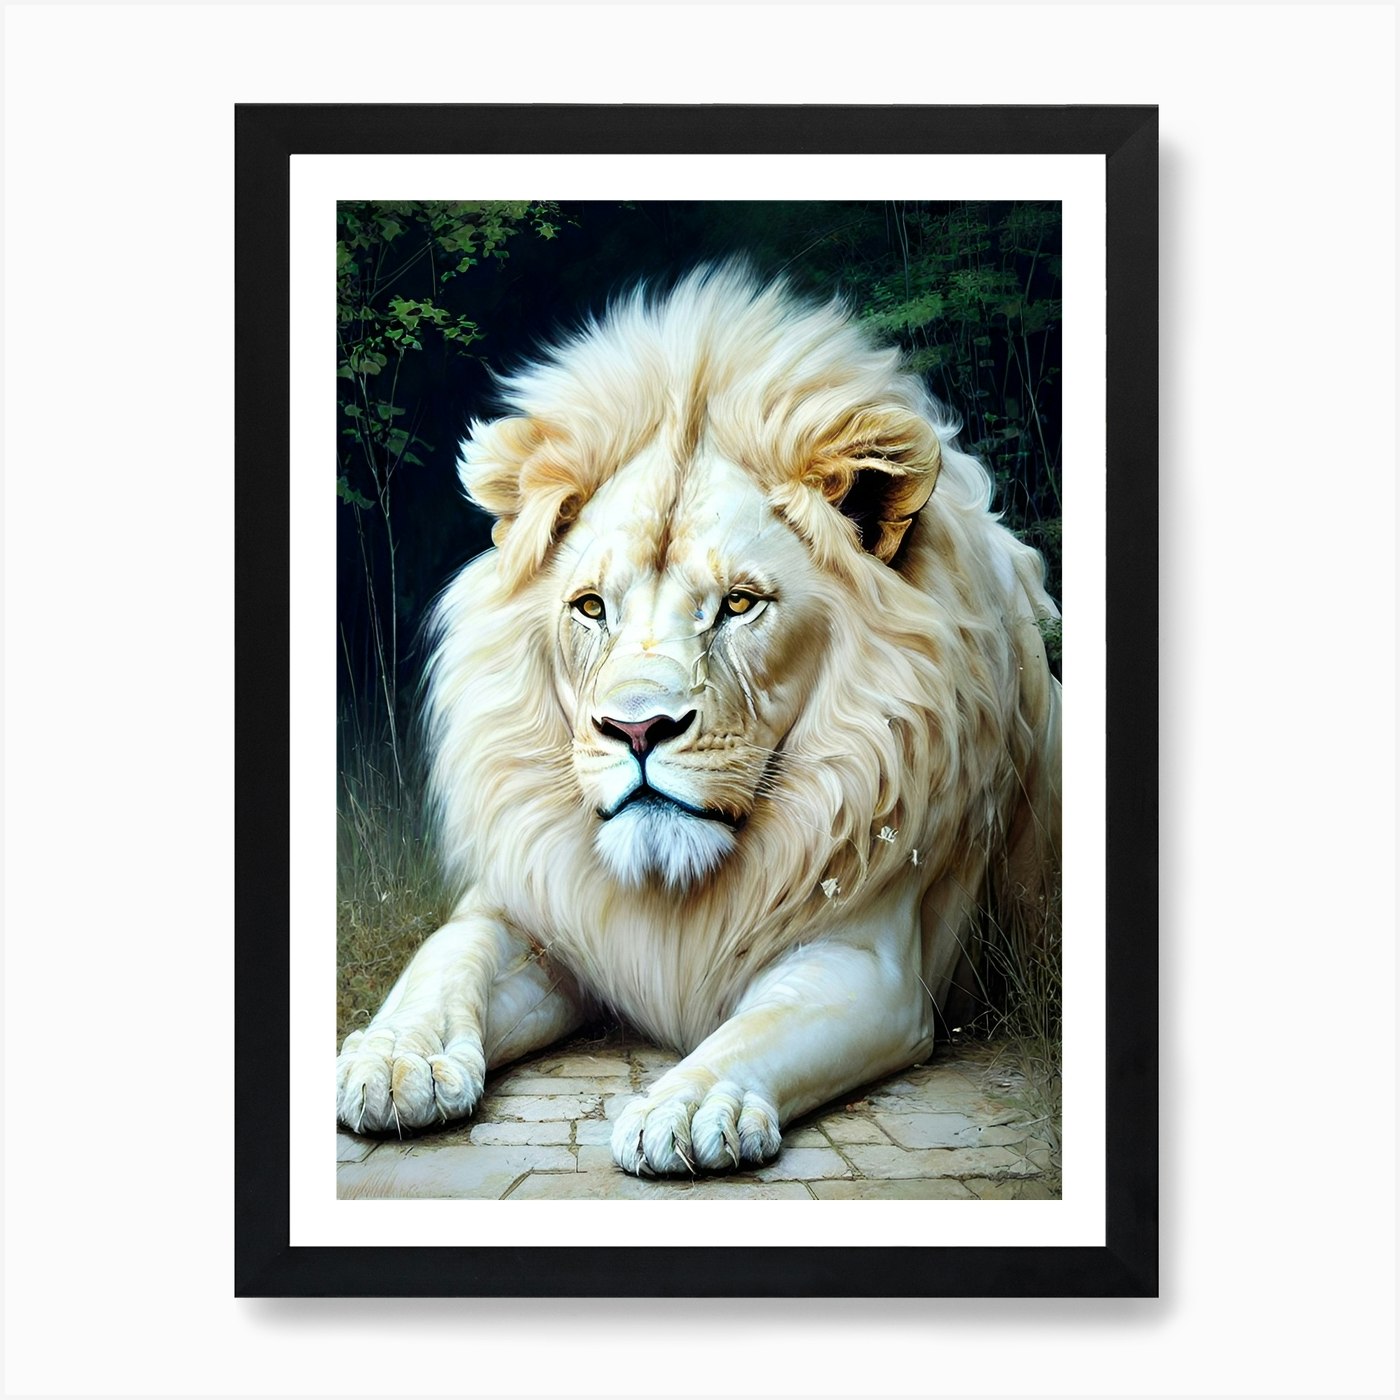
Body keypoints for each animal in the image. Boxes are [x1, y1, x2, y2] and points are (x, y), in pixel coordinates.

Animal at [335, 264, 1061, 1176]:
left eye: (740, 604)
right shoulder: (529, 911)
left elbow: (758, 1028)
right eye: (591, 607)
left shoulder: (871, 962)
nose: (638, 730)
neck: (675, 891)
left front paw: (686, 1106)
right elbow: (441, 960)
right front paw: (396, 1063)